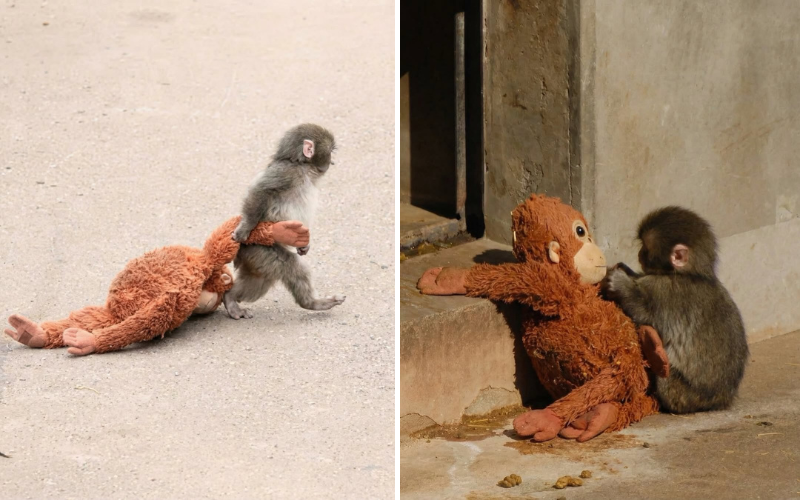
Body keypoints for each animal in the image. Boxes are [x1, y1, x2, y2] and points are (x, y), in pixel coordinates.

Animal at [223, 123, 346, 319]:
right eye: (331, 151)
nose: (332, 162)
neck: (302, 167)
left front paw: (305, 245)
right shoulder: (286, 173)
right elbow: (261, 190)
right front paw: (244, 228)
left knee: (259, 280)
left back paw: (230, 296)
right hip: (258, 249)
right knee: (291, 265)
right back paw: (313, 303)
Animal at [601, 206, 749, 413]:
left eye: (646, 248)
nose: (639, 253)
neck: (690, 274)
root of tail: (720, 401)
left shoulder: (664, 292)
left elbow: (644, 313)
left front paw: (620, 282)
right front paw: (627, 271)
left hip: (680, 394)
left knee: (665, 377)